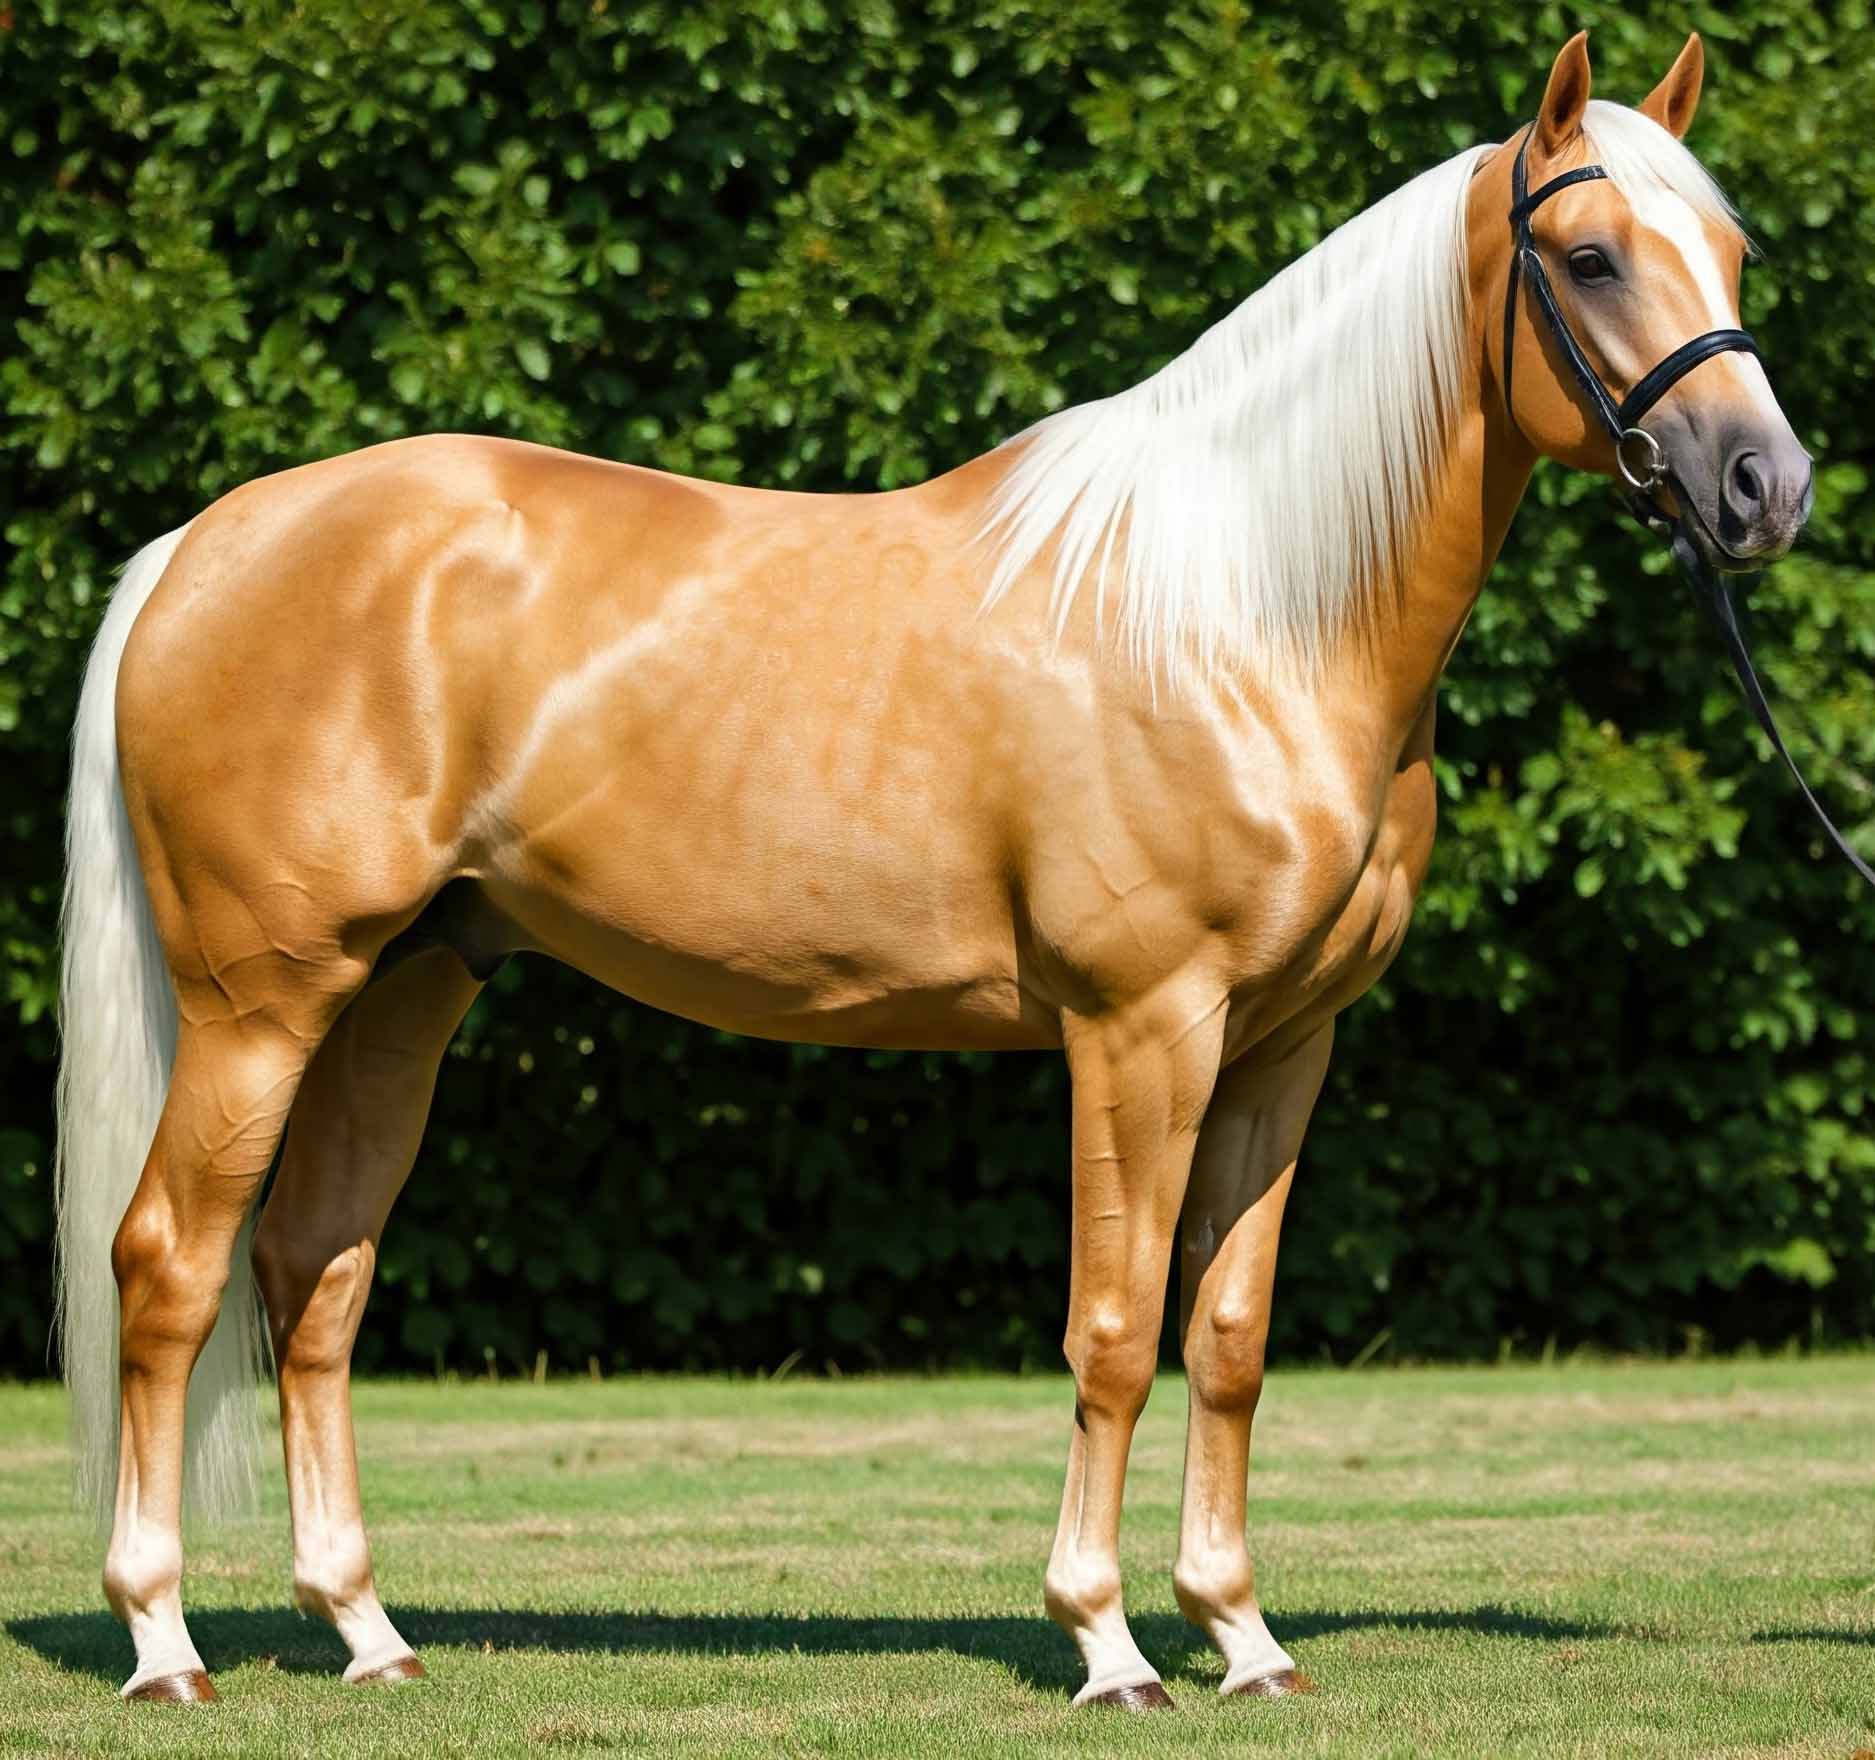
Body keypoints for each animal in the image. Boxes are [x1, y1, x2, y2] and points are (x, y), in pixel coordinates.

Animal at [58, 27, 1815, 1709]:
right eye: (1586, 257)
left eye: (1729, 251)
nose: (1762, 488)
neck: (1239, 612)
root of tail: (203, 545)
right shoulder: (1138, 1032)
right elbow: (1111, 1332)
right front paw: (1107, 1645)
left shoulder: (1281, 1048)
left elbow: (1225, 1339)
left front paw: (1240, 1637)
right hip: (261, 1005)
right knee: (169, 1268)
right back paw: (163, 1639)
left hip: (406, 987)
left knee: (313, 1272)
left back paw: (365, 1632)